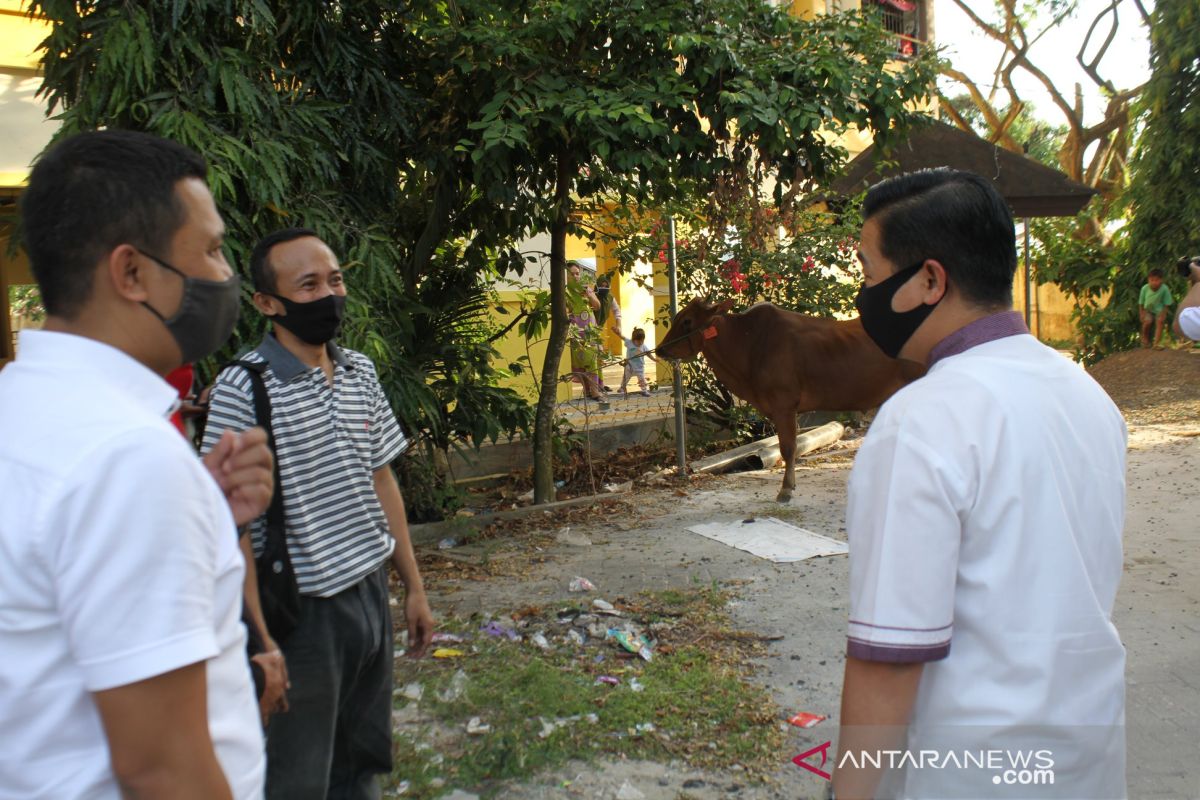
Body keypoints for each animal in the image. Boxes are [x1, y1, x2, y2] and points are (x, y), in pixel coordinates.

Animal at [662, 298, 921, 501]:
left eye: (687, 321)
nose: (661, 349)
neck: (749, 343)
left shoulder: (783, 404)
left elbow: (788, 448)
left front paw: (786, 489)